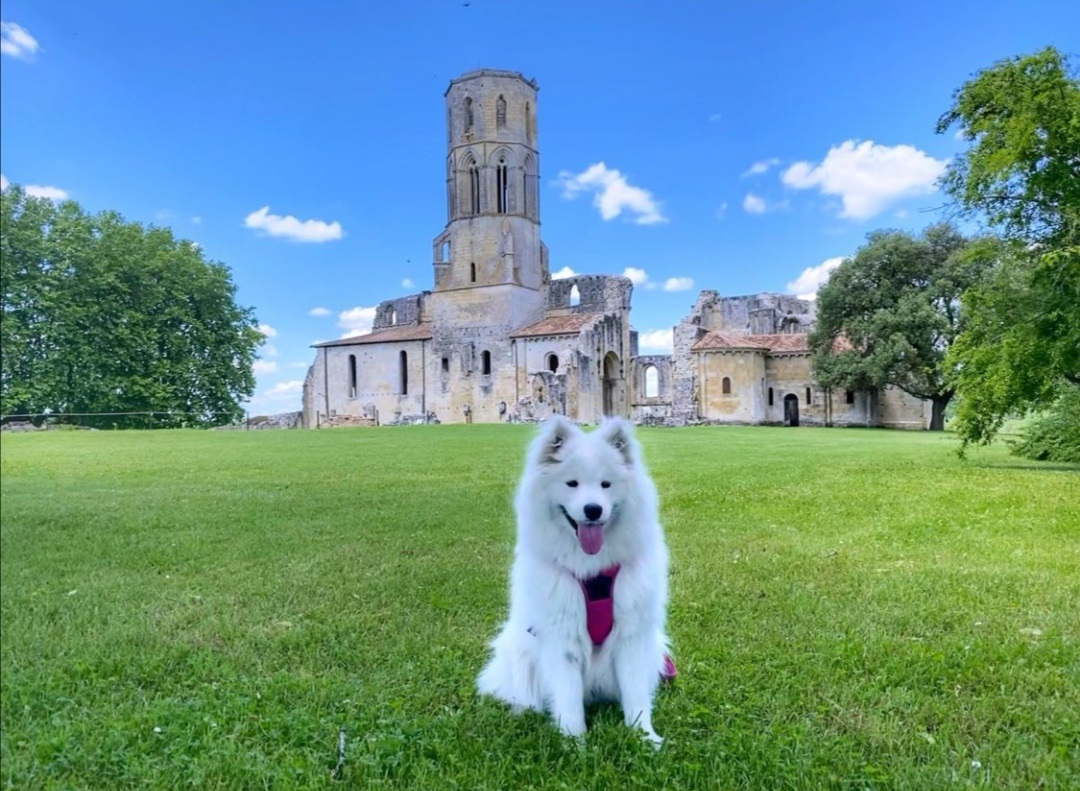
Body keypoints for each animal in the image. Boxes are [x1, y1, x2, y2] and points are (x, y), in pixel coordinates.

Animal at [477, 417, 669, 743]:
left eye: (606, 484)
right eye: (572, 484)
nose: (593, 510)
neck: (591, 571)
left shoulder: (631, 637)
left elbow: (635, 695)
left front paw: (644, 737)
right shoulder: (561, 635)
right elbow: (568, 698)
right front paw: (574, 741)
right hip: (519, 651)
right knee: (520, 693)